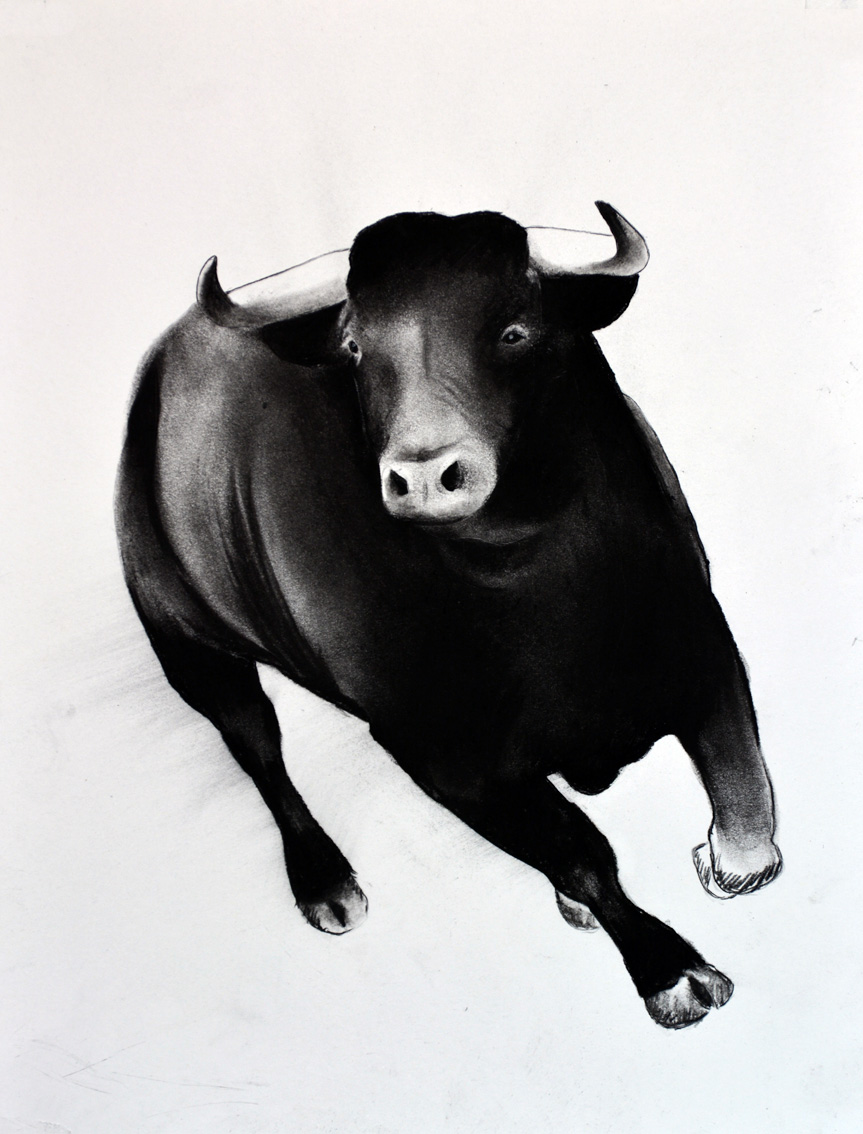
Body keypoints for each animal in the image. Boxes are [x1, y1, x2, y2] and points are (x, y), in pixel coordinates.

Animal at [116, 202, 782, 1029]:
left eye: (514, 330)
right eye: (356, 347)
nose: (424, 476)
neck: (539, 586)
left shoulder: (700, 643)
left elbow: (746, 819)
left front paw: (717, 868)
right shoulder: (440, 758)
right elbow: (579, 853)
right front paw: (670, 972)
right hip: (189, 648)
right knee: (257, 751)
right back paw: (326, 884)